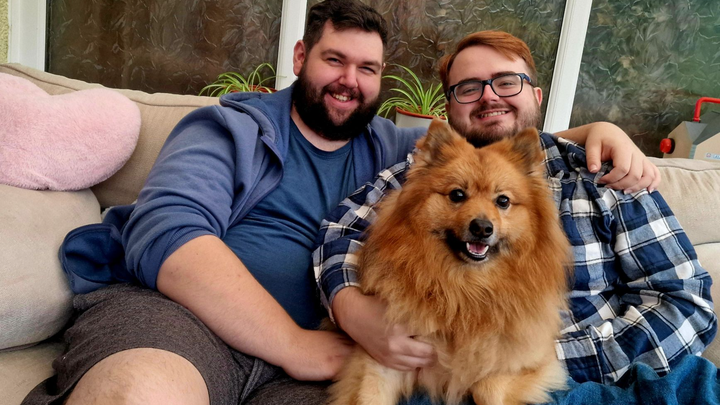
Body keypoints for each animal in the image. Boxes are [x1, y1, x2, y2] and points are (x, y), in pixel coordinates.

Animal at [328, 121, 571, 405]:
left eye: (503, 201)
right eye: (457, 194)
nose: (482, 227)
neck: (464, 290)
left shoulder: (532, 361)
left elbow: (487, 387)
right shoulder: (383, 355)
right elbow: (370, 396)